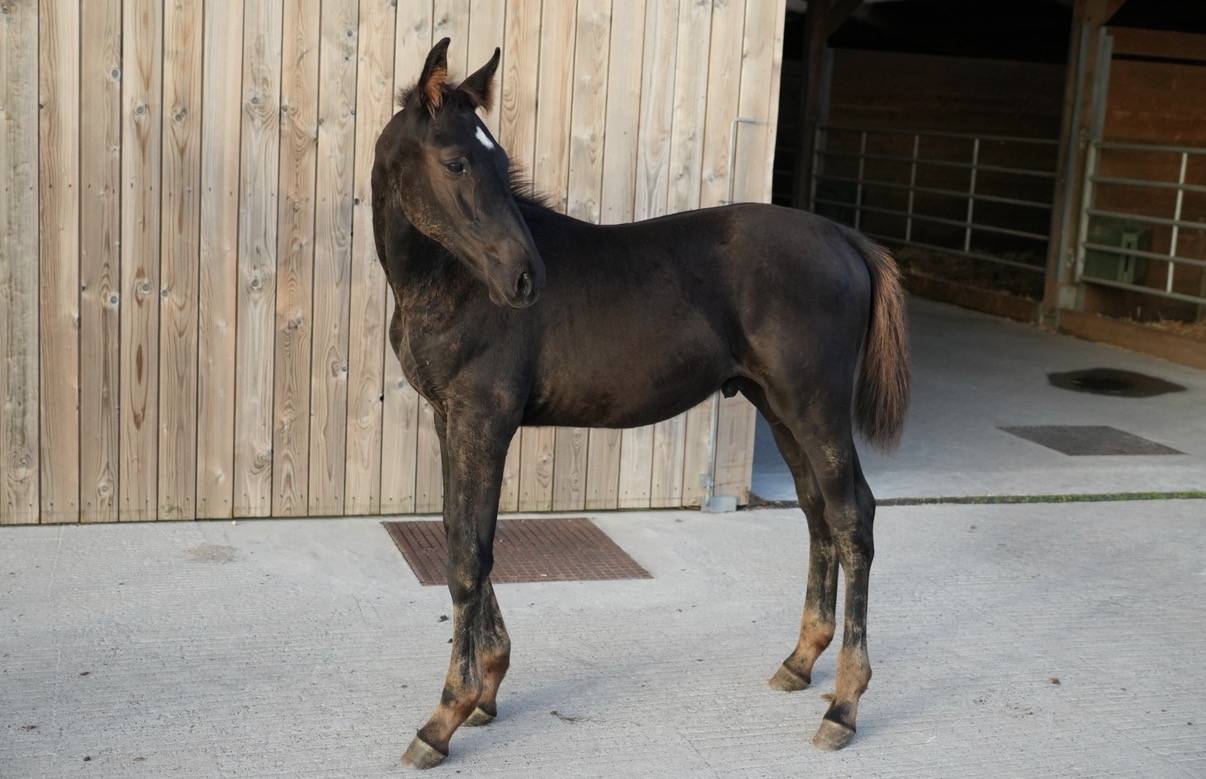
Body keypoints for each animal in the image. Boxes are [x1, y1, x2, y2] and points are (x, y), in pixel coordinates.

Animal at [372, 39, 910, 769]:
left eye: (502, 165)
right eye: (457, 161)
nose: (525, 279)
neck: (449, 284)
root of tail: (846, 239)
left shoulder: (485, 417)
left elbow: (469, 554)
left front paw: (444, 716)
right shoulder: (449, 416)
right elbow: (463, 534)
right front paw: (487, 687)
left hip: (815, 403)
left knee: (854, 517)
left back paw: (844, 707)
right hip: (779, 406)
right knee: (817, 511)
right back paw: (800, 662)